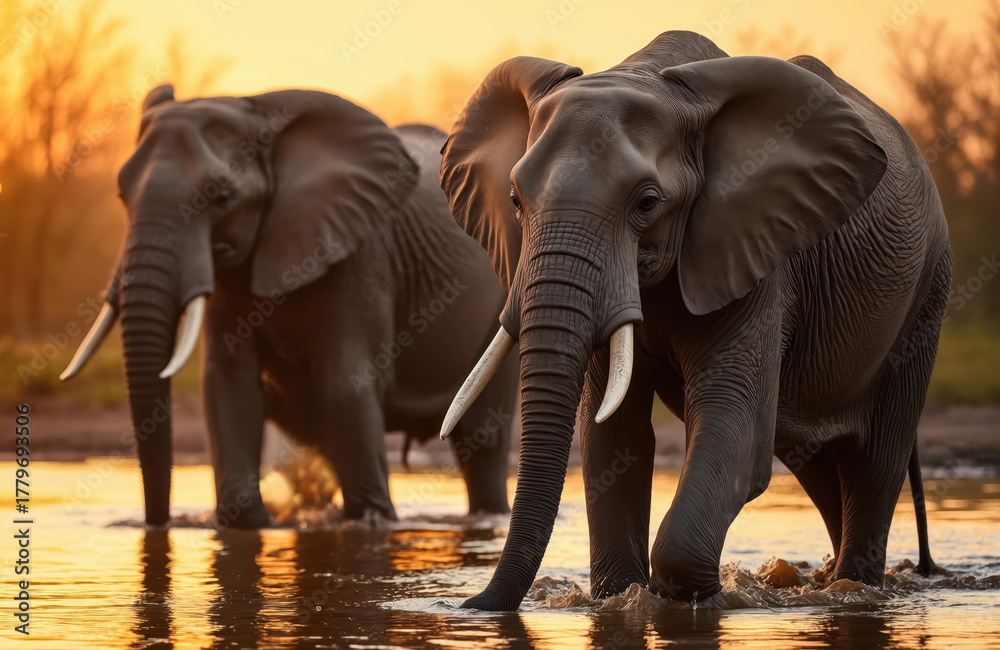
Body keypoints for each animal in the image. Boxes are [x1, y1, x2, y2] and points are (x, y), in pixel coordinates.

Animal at [61, 85, 517, 527]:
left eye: (220, 196)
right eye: (121, 194)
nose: (157, 523)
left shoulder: (359, 256)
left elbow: (344, 387)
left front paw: (372, 523)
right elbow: (229, 385)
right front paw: (250, 524)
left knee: (482, 440)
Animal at [437, 31, 950, 610]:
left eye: (647, 203)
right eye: (515, 200)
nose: (468, 606)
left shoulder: (754, 256)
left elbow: (735, 429)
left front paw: (700, 600)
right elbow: (614, 439)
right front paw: (621, 597)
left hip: (926, 294)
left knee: (874, 463)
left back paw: (856, 586)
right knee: (818, 465)